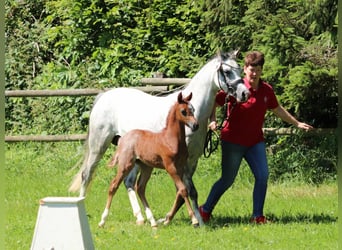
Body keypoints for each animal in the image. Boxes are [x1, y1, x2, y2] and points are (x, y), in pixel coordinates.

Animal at [98, 92, 200, 229]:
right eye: (183, 111)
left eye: (193, 109)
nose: (196, 125)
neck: (171, 140)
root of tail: (123, 139)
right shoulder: (170, 167)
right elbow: (183, 190)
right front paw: (194, 220)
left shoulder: (181, 168)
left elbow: (180, 191)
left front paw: (168, 219)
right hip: (126, 164)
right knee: (114, 185)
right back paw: (102, 221)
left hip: (146, 167)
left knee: (140, 188)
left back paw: (152, 221)